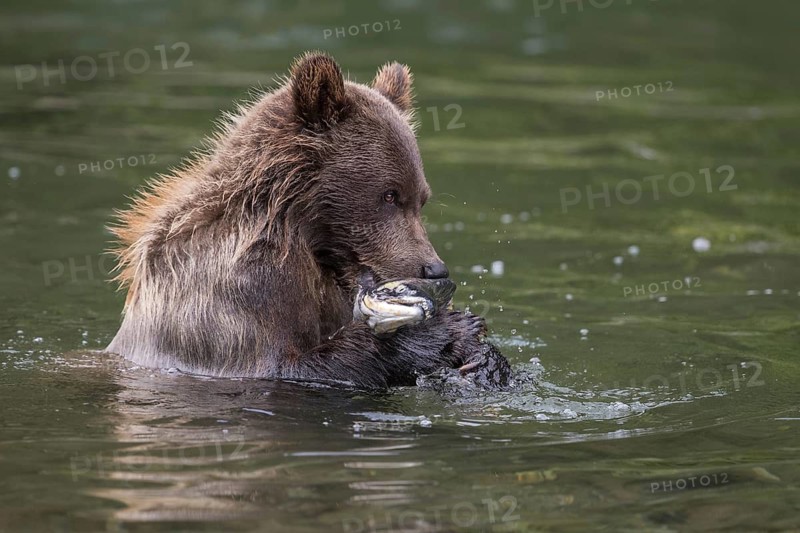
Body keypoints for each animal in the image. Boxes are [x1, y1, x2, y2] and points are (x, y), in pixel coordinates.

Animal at [106, 51, 509, 389]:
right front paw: (450, 329)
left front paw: (486, 360)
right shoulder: (231, 295)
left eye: (421, 199)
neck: (301, 235)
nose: (434, 268)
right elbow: (288, 364)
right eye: (390, 195)